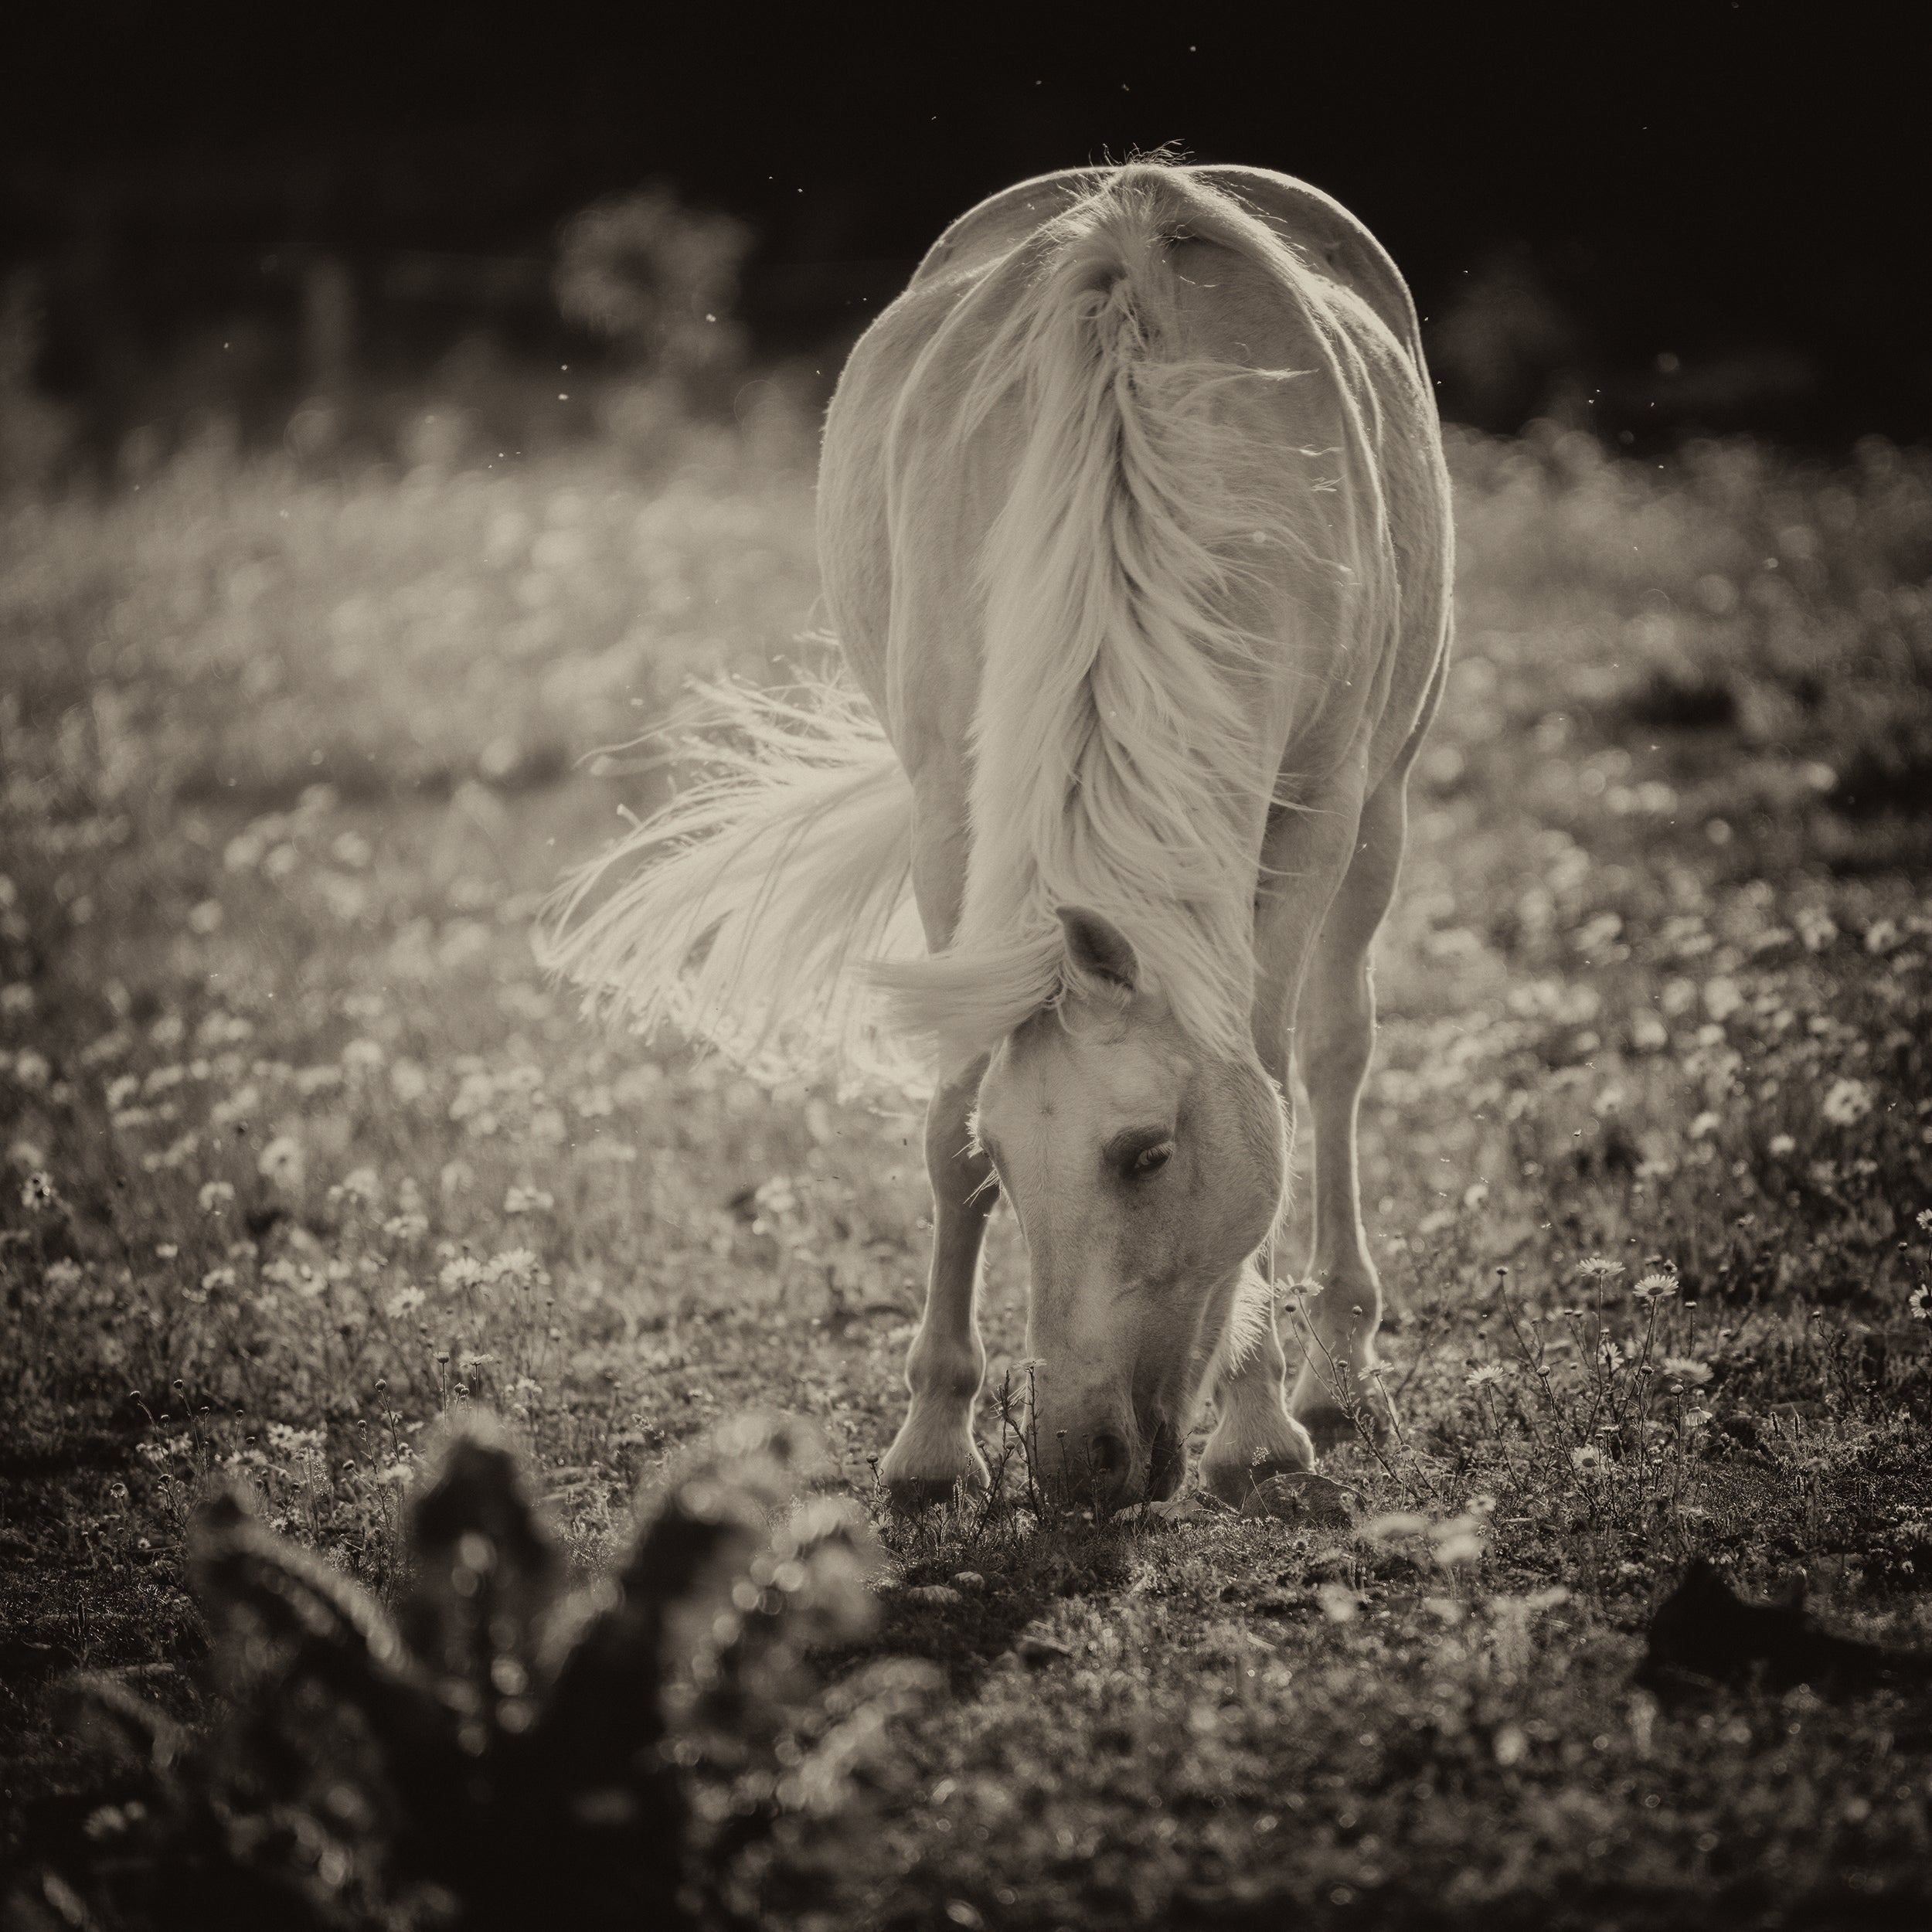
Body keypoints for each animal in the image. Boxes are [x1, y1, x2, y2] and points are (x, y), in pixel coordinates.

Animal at [543, 160, 1453, 1512]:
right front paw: (933, 1440)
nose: (1082, 1469)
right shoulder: (951, 815)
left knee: (1337, 1054)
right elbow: (945, 1114)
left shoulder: (1315, 811)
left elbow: (1274, 1081)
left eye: (1145, 1155)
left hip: (1380, 814)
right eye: (1009, 1160)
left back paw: (1338, 1369)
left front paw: (1256, 1420)